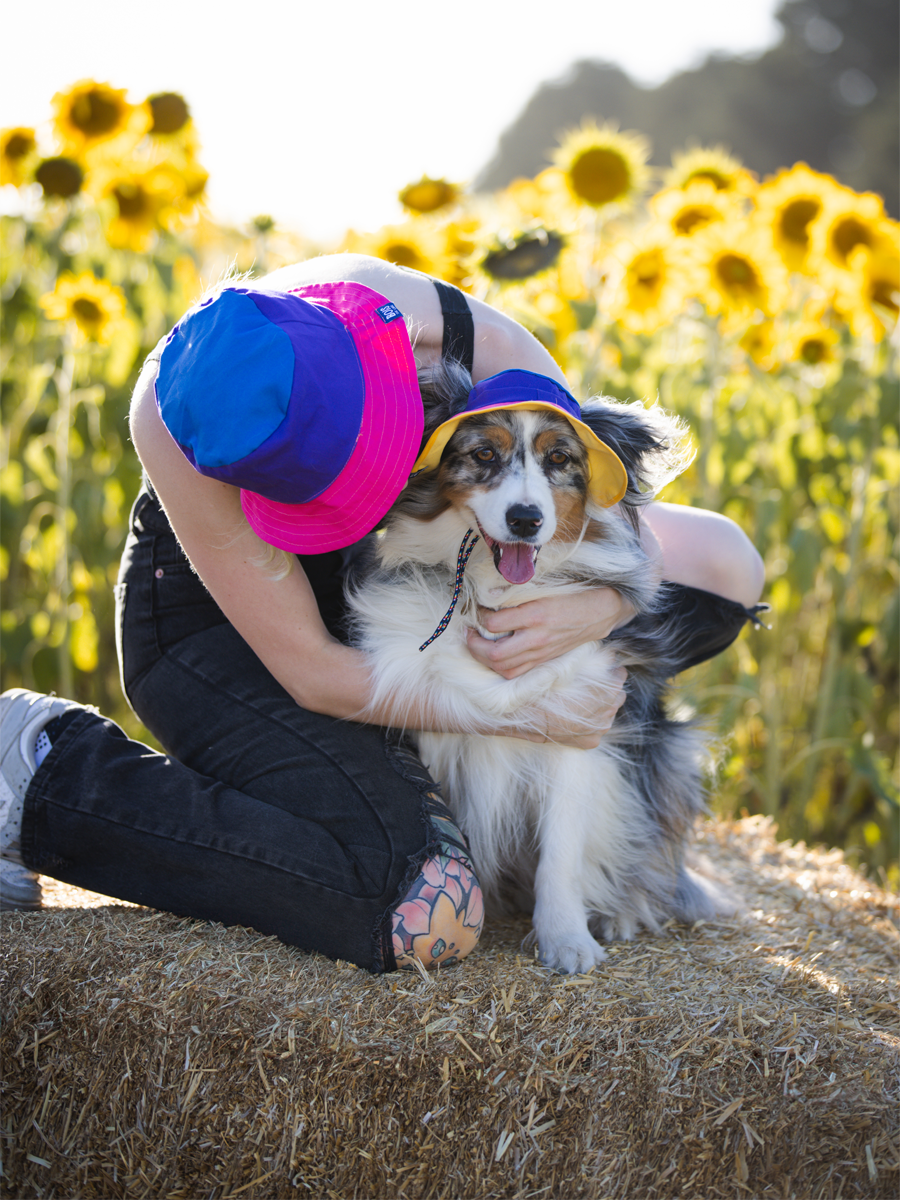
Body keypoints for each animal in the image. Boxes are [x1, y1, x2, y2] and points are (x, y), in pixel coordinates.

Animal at [348, 360, 729, 969]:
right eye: (483, 454)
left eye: (560, 460)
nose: (525, 519)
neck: (492, 590)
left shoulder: (581, 723)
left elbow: (562, 852)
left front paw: (567, 938)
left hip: (669, 756)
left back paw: (624, 911)